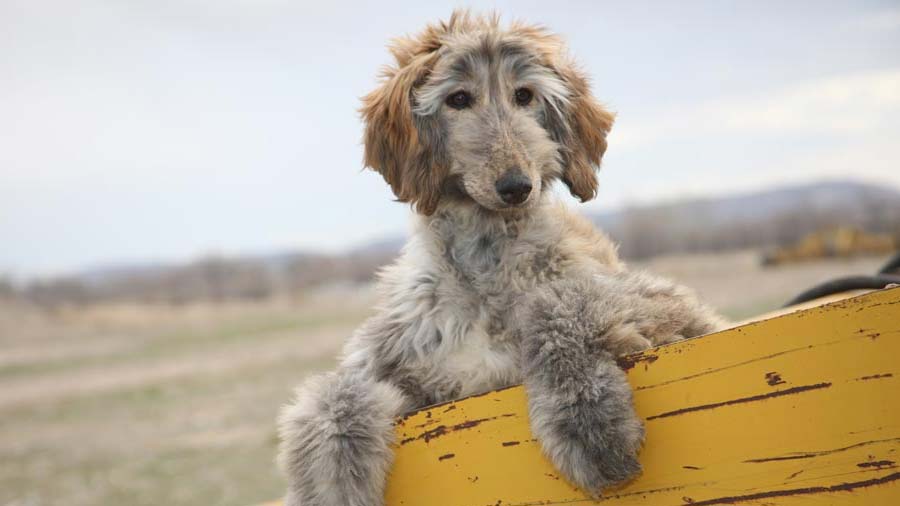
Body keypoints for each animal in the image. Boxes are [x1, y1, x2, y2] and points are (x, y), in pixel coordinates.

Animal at [274, 11, 724, 506]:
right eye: (458, 98)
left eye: (523, 95)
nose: (516, 187)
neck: (486, 263)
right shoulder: (407, 361)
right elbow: (332, 393)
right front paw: (326, 486)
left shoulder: (670, 309)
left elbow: (561, 302)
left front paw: (586, 418)